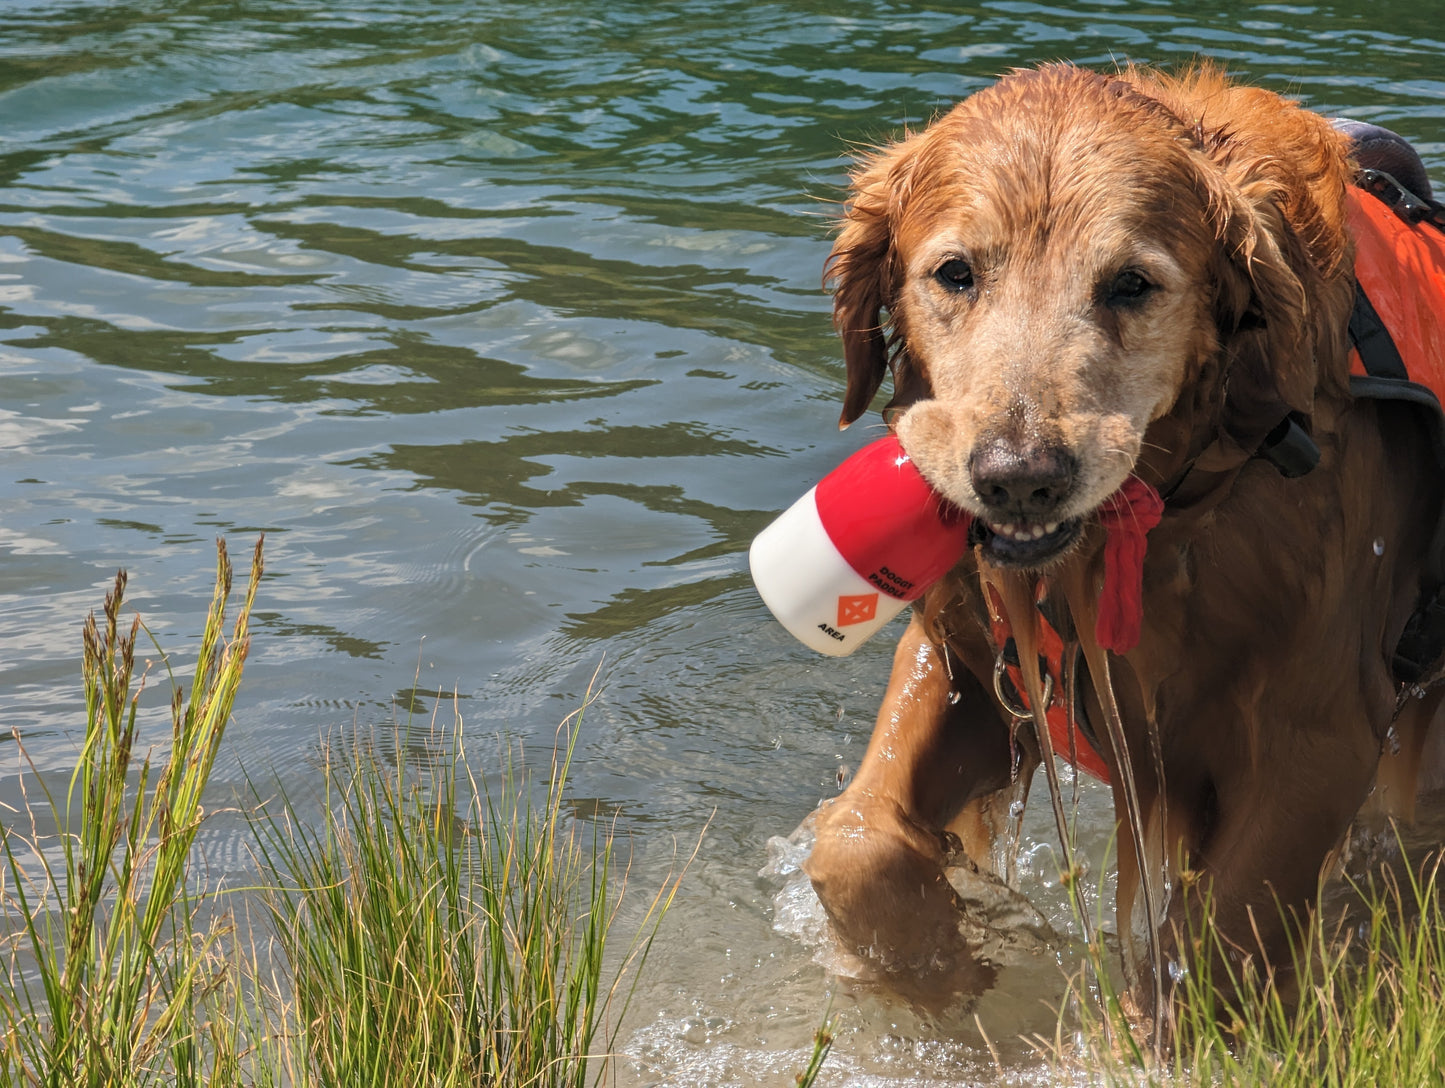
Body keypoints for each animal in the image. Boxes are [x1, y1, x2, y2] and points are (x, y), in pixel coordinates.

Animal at [803, 65, 1445, 1017]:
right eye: (954, 273)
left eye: (1132, 284)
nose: (1018, 476)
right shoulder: (968, 667)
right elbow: (854, 839)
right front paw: (941, 975)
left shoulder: (1317, 735)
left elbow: (1212, 936)